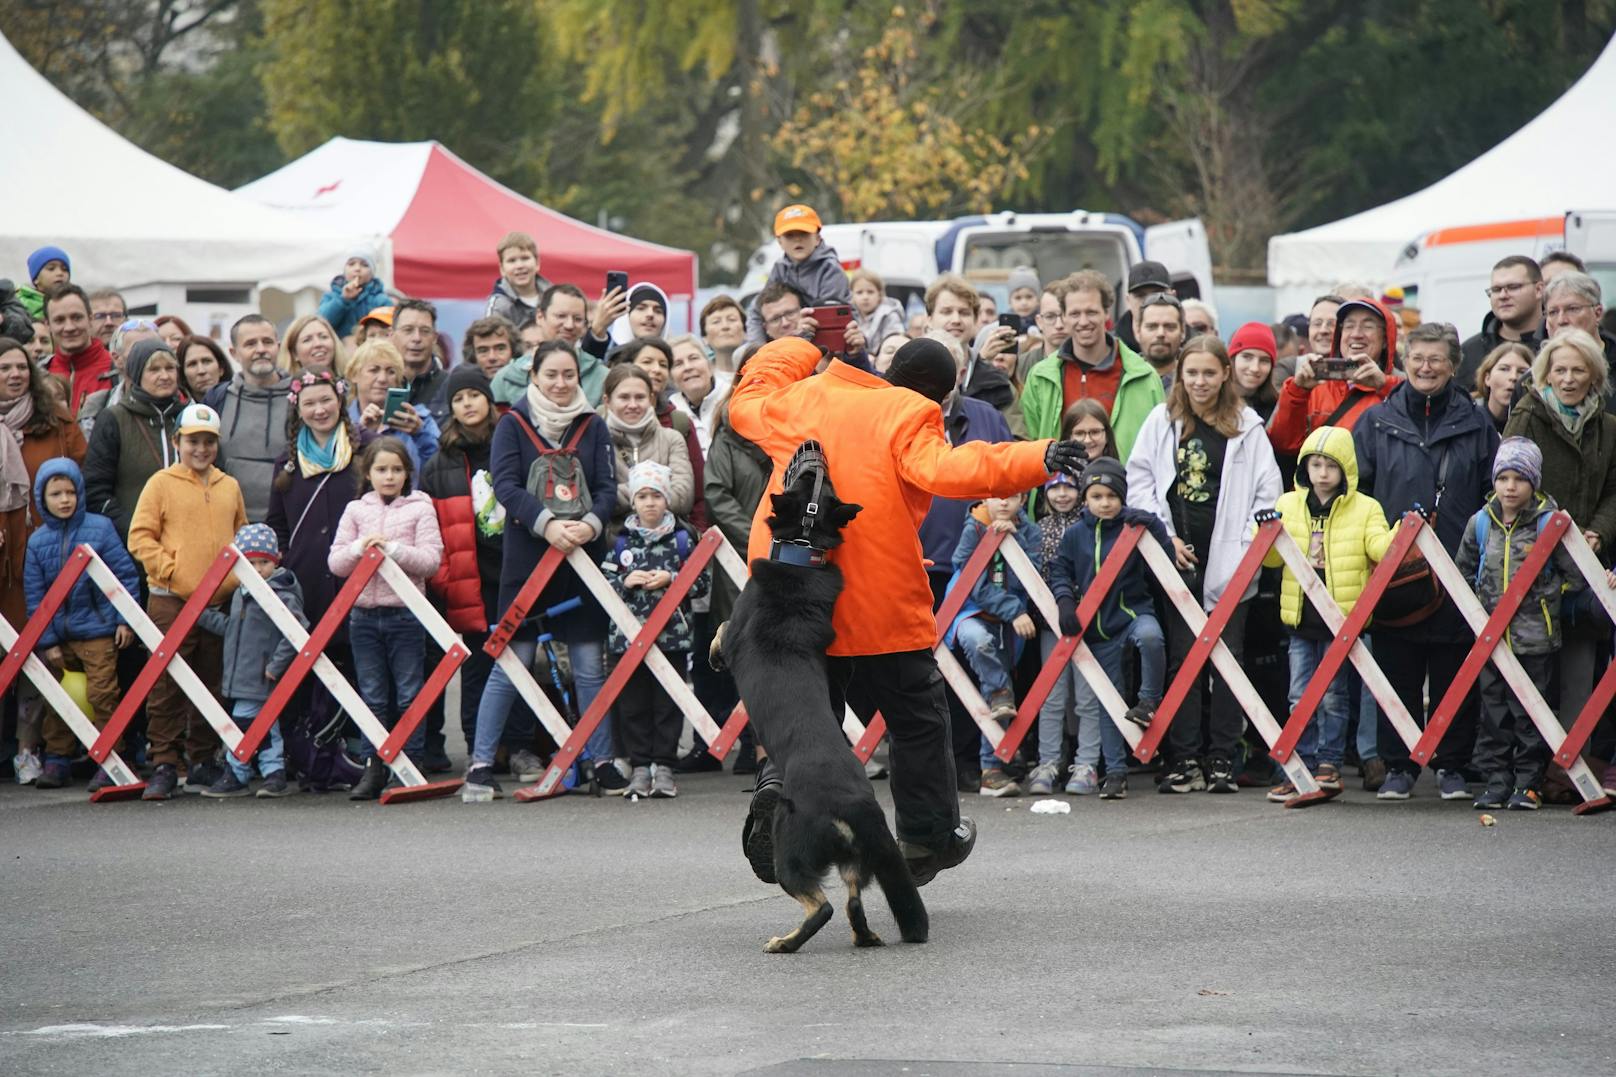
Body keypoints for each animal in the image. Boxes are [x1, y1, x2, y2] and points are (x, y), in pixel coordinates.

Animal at [714, 449, 930, 950]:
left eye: (809, 479)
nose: (813, 446)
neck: (803, 552)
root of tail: (855, 806)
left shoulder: (735, 629)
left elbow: (720, 631)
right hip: (854, 859)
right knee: (853, 902)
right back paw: (865, 938)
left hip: (789, 843)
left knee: (823, 906)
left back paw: (785, 943)